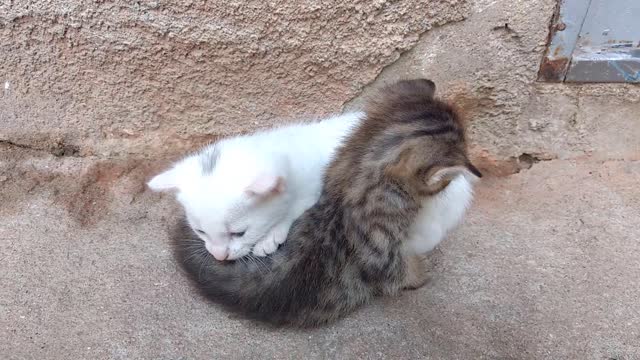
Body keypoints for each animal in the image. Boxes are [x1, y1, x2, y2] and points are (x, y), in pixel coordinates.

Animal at [147, 112, 362, 258]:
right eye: (200, 232)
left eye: (239, 234)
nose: (219, 257)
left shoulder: (314, 187)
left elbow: (294, 207)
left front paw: (269, 237)